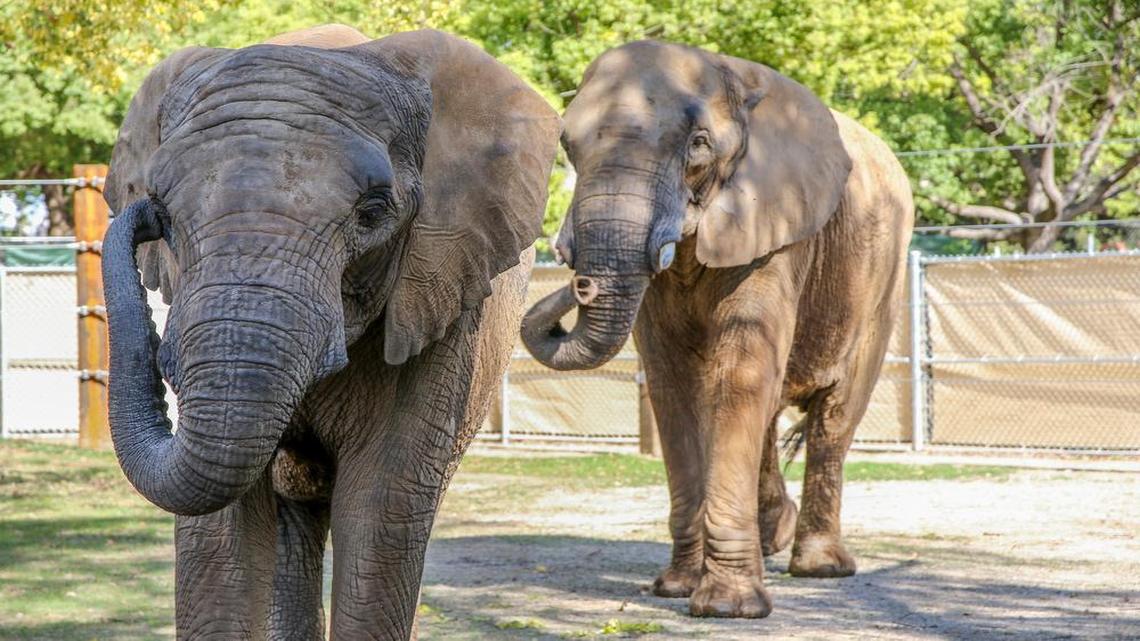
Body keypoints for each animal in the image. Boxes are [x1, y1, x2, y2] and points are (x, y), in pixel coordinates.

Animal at [101, 24, 559, 640]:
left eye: (373, 211)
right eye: (165, 216)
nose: (141, 213)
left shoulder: (442, 297)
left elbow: (381, 506)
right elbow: (219, 537)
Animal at [521, 41, 914, 618]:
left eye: (699, 145)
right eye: (567, 147)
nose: (580, 285)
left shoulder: (778, 227)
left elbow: (741, 372)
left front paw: (726, 606)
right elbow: (672, 381)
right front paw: (676, 588)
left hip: (882, 278)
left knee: (834, 417)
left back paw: (820, 567)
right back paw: (774, 536)